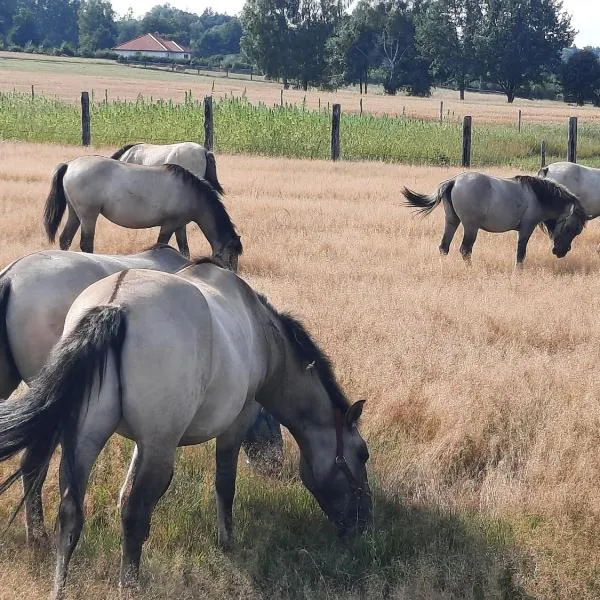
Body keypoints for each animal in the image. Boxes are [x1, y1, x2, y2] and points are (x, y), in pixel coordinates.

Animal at [43, 155, 243, 268]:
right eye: (232, 256)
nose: (232, 275)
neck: (191, 193)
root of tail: (70, 165)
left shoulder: (180, 226)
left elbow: (185, 250)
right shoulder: (169, 225)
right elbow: (162, 244)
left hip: (75, 213)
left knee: (65, 239)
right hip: (88, 215)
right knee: (86, 244)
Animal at [404, 171, 584, 264]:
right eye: (570, 228)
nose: (561, 252)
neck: (537, 196)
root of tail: (454, 181)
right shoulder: (527, 228)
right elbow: (521, 253)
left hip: (452, 221)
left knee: (444, 247)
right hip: (470, 226)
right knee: (465, 250)